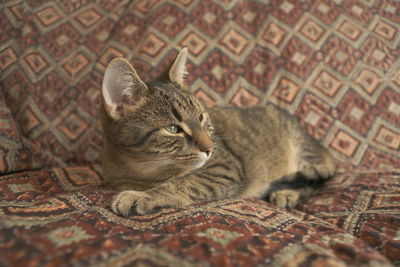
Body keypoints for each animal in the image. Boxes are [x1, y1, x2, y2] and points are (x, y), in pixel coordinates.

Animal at [101, 47, 334, 218]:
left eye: (201, 118)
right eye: (173, 129)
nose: (210, 148)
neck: (141, 170)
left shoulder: (225, 168)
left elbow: (183, 183)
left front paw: (141, 197)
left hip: (305, 154)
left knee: (316, 181)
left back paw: (288, 193)